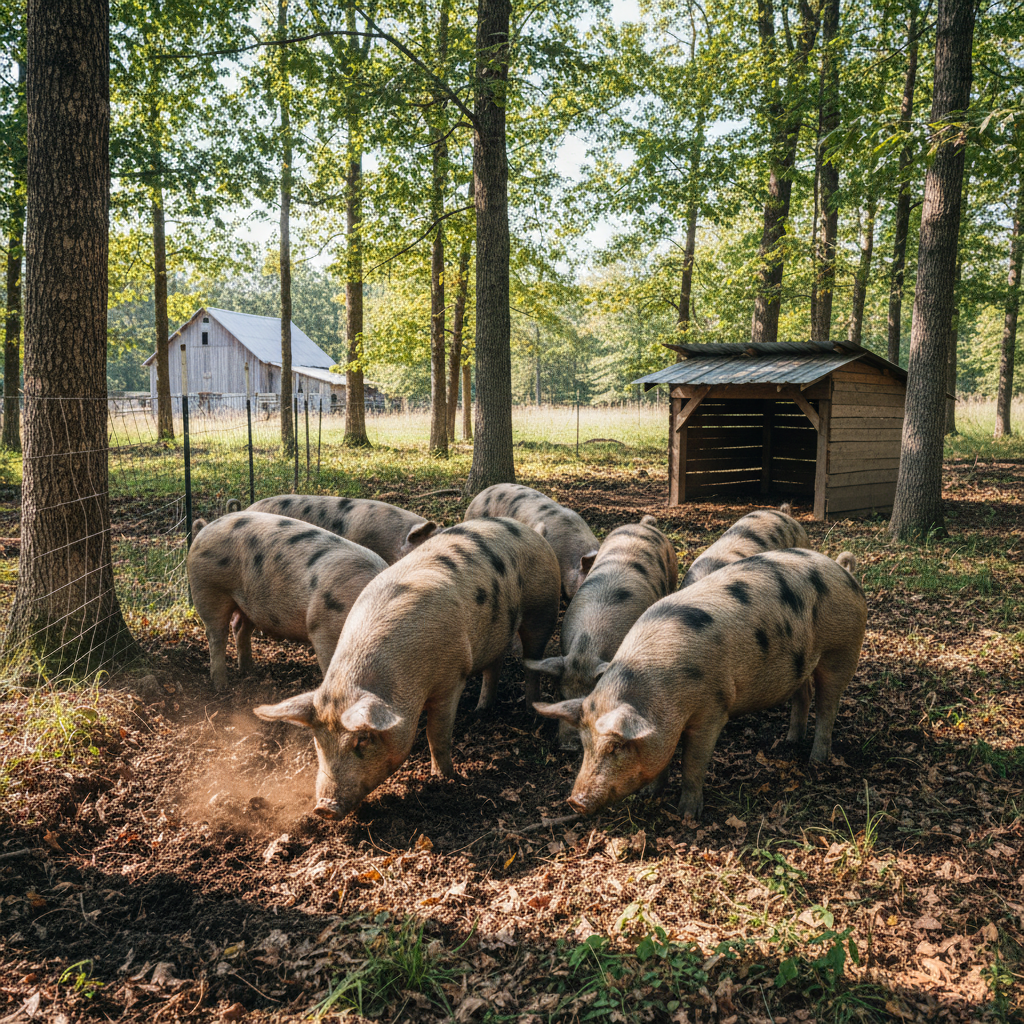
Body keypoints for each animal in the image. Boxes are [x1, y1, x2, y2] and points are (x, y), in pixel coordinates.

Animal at [188, 511, 388, 689]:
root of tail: (205, 528)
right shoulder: (322, 628)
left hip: (247, 603)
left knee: (240, 628)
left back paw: (249, 670)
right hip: (208, 588)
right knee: (216, 634)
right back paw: (221, 686)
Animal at [252, 516, 561, 820]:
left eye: (362, 739)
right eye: (318, 741)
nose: (324, 808)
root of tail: (528, 530)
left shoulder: (452, 677)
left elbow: (437, 734)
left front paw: (446, 779)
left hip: (543, 607)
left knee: (532, 660)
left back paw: (532, 712)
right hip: (497, 631)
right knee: (495, 663)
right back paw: (481, 710)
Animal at [526, 515, 678, 750]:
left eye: (590, 698)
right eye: (561, 694)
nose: (568, 745)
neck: (586, 650)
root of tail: (644, 525)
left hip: (673, 572)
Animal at [535, 549, 866, 820]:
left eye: (616, 746)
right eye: (585, 743)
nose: (575, 802)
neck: (663, 696)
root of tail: (843, 570)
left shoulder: (713, 709)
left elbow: (693, 763)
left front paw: (687, 815)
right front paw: (649, 795)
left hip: (843, 648)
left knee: (828, 705)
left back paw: (816, 761)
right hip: (803, 662)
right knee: (804, 693)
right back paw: (789, 742)